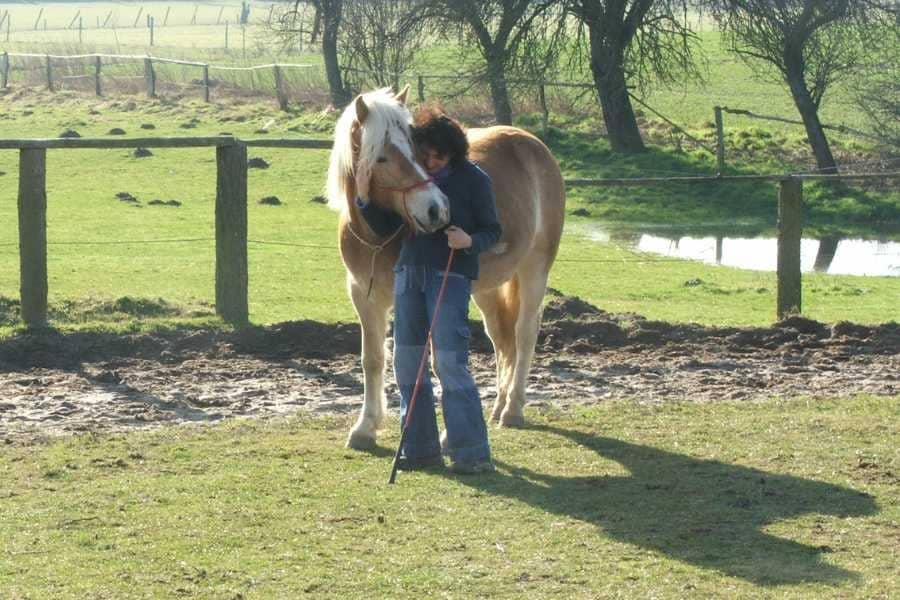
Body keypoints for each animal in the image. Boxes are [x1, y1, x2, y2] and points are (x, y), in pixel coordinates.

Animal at [326, 86, 564, 448]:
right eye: (381, 157)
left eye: (416, 150)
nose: (436, 209)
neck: (377, 234)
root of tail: (533, 144)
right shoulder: (364, 296)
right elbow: (373, 359)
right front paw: (365, 427)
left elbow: (436, 362)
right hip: (487, 287)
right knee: (501, 336)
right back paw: (499, 405)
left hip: (534, 269)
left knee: (524, 334)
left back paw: (513, 410)